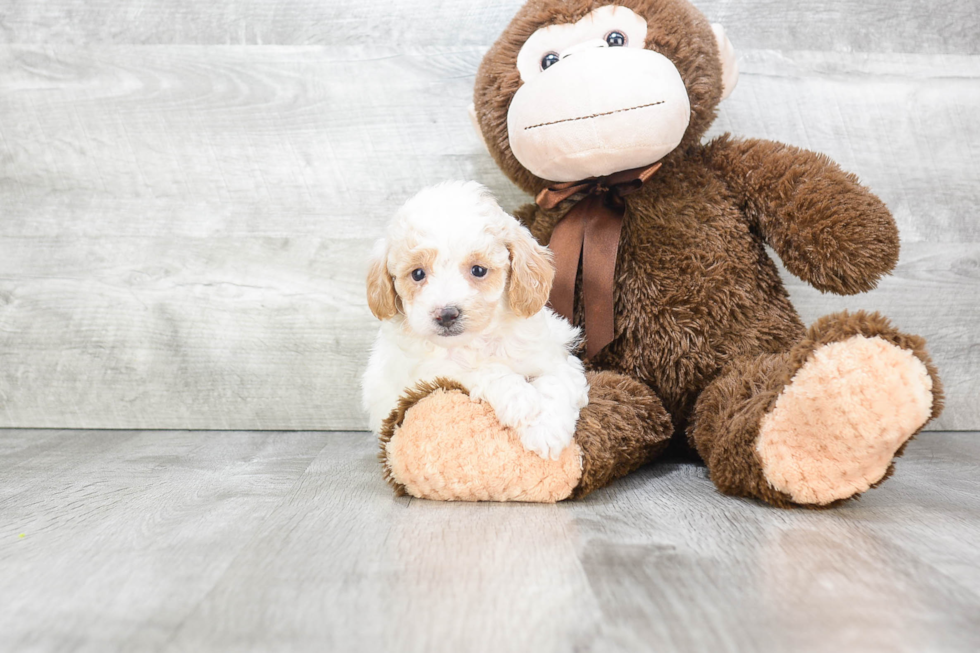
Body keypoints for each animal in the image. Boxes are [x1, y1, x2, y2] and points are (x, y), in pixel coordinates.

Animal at [362, 181, 584, 460]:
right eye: (417, 274)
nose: (446, 314)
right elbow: (485, 371)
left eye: (478, 270)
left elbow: (555, 380)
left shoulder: (550, 356)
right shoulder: (427, 375)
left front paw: (547, 429)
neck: (478, 341)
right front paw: (520, 400)